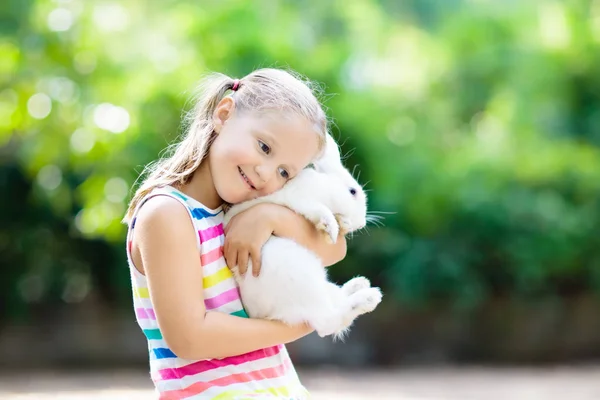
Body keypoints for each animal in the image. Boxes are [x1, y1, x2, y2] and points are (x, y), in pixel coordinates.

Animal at [223, 134, 382, 338]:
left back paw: (360, 284)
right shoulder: (301, 200)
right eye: (352, 191)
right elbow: (320, 211)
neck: (324, 188)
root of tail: (262, 315)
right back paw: (369, 297)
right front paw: (332, 229)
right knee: (327, 322)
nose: (361, 223)